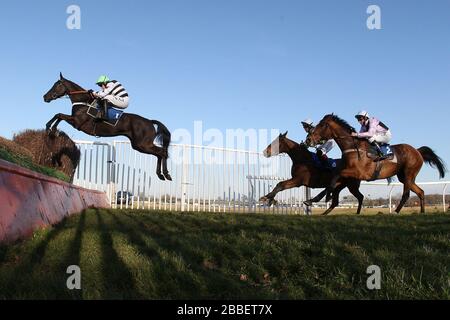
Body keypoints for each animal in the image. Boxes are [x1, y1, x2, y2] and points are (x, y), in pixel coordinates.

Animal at [43, 73, 172, 181]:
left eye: (57, 85)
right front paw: (52, 130)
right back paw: (161, 175)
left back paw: (166, 174)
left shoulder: (77, 122)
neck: (83, 102)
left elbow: (59, 115)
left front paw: (51, 129)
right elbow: (58, 115)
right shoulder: (75, 121)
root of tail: (149, 121)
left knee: (162, 152)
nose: (45, 97)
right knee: (160, 153)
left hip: (142, 144)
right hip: (140, 145)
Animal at [306, 114, 446, 214]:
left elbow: (335, 176)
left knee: (406, 194)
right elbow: (333, 180)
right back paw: (422, 212)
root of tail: (417, 151)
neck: (353, 147)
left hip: (408, 174)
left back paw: (395, 212)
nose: (308, 139)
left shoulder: (359, 173)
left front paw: (327, 196)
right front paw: (313, 200)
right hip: (405, 177)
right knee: (420, 191)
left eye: (322, 125)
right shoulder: (349, 174)